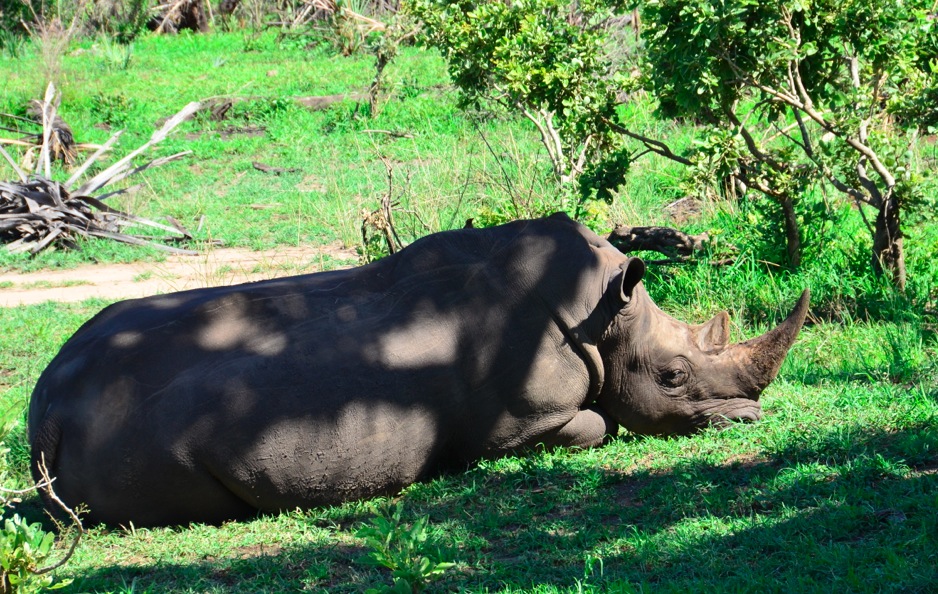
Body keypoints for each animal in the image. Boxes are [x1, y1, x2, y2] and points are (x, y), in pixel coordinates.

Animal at [28, 213, 808, 526]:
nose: (750, 416)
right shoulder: (520, 427)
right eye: (673, 378)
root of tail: (47, 414)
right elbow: (600, 426)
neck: (602, 318)